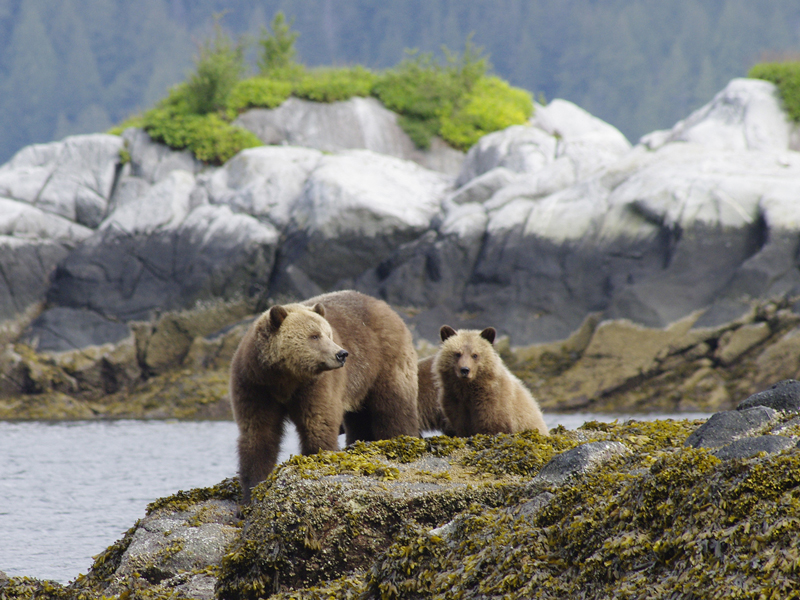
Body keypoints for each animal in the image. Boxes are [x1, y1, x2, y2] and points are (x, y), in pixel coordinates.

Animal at [230, 290, 418, 502]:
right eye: (314, 336)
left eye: (328, 334)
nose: (341, 354)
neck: (285, 378)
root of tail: (384, 306)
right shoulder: (255, 385)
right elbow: (258, 432)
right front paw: (252, 489)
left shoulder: (314, 385)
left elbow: (318, 423)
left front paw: (315, 460)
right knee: (360, 418)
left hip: (385, 361)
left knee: (394, 407)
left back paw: (400, 439)